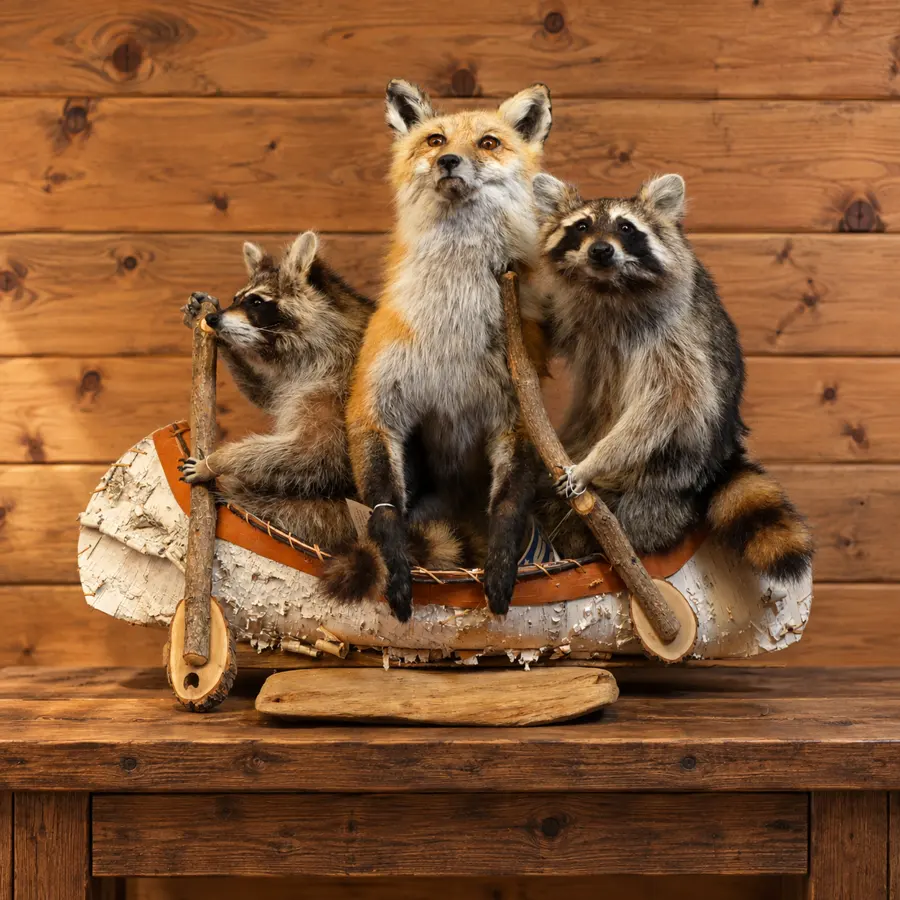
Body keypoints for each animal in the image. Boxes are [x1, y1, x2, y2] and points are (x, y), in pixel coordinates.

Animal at [323, 79, 553, 621]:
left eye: (488, 143)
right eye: (435, 140)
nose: (450, 160)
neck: (451, 331)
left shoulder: (519, 412)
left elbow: (507, 509)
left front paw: (501, 568)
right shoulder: (376, 405)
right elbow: (385, 512)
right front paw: (396, 567)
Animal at [531, 172, 814, 583]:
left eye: (625, 227)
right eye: (581, 226)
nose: (601, 251)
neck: (609, 285)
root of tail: (721, 456)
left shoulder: (672, 334)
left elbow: (672, 399)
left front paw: (594, 461)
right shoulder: (579, 314)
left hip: (664, 479)